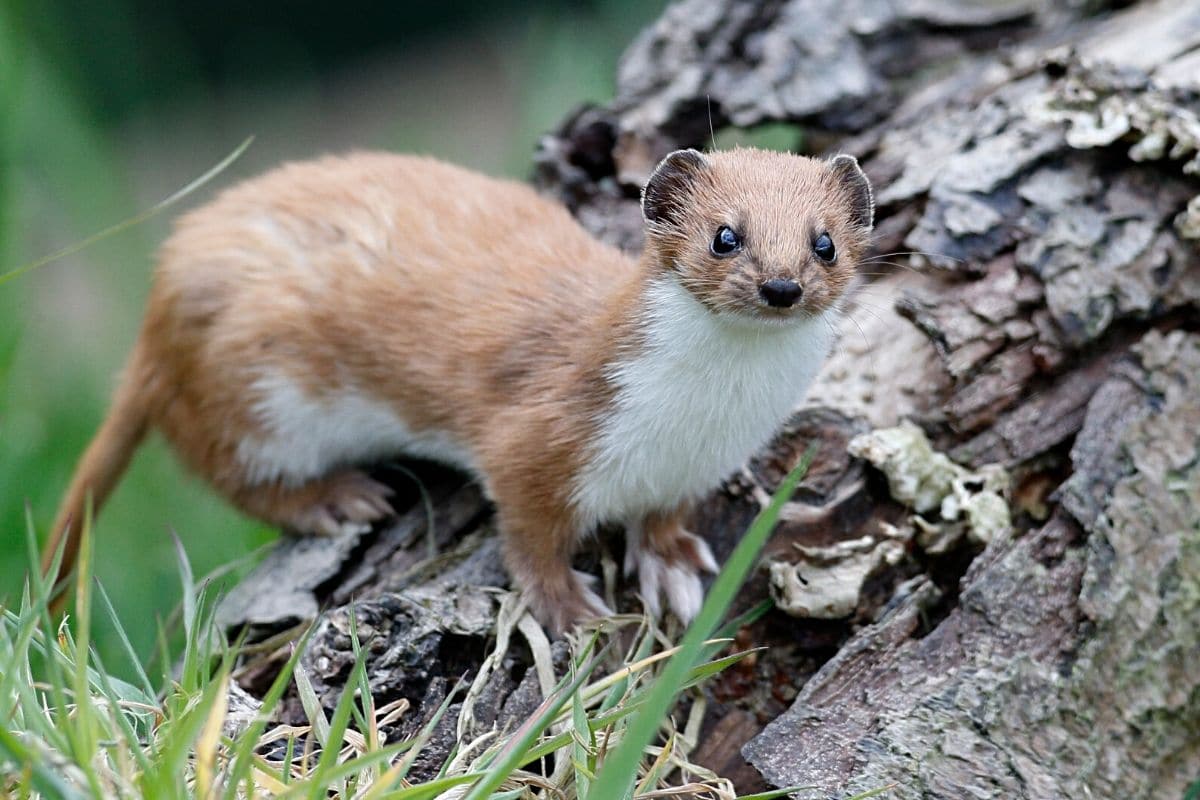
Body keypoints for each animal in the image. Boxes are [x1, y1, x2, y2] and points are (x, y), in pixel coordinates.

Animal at [44, 146, 873, 633]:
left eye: (824, 241)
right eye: (724, 235)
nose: (780, 285)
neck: (700, 420)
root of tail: (161, 296)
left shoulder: (691, 468)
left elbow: (664, 517)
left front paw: (669, 565)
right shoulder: (537, 437)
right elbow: (528, 531)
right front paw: (569, 607)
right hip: (254, 389)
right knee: (225, 467)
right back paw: (334, 498)